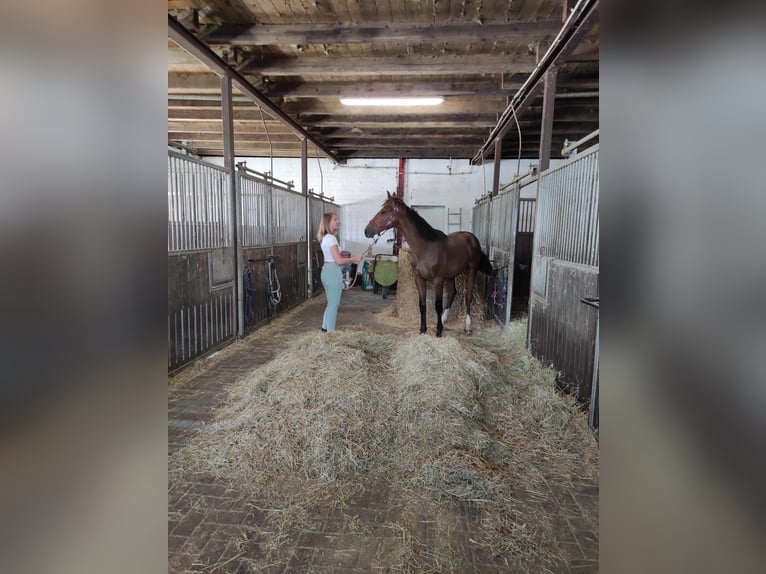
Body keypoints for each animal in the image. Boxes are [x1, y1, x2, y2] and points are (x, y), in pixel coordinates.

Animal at [368, 194, 498, 338]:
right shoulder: (419, 279)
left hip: (471, 270)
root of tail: (472, 238)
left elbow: (437, 305)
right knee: (453, 293)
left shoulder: (438, 280)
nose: (366, 230)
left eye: (384, 211)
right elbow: (422, 304)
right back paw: (443, 319)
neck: (426, 248)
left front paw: (438, 330)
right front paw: (423, 329)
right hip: (452, 275)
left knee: (468, 296)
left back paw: (467, 326)